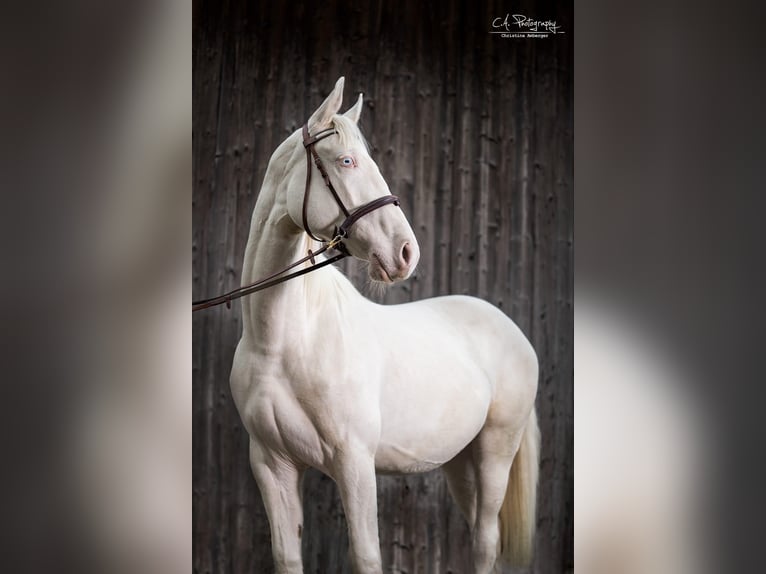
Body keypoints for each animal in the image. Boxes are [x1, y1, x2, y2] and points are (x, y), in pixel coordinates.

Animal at [229, 77, 540, 574]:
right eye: (346, 161)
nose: (406, 252)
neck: (284, 342)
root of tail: (512, 329)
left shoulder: (354, 463)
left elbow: (366, 555)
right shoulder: (273, 466)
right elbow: (286, 556)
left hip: (497, 451)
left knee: (486, 541)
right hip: (460, 461)